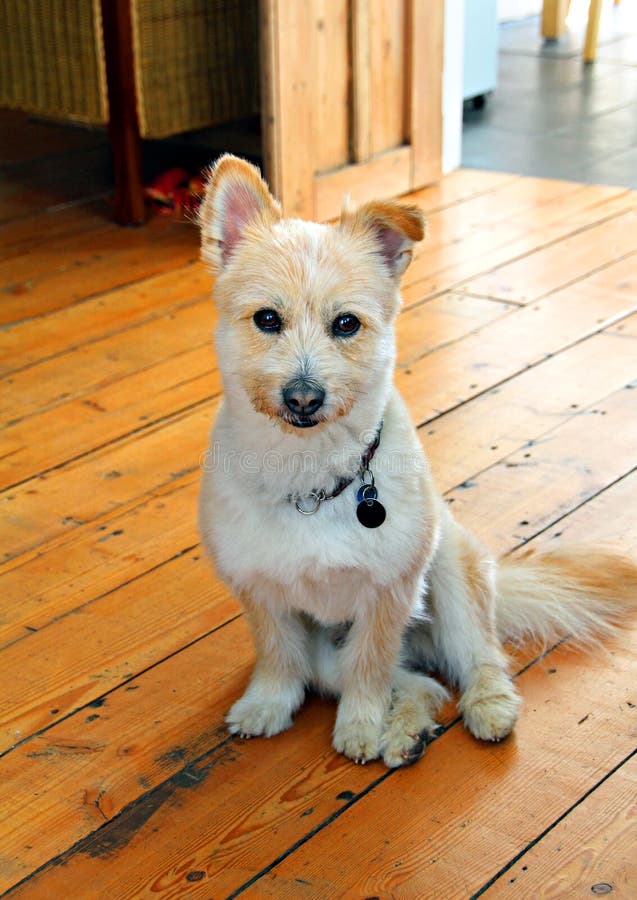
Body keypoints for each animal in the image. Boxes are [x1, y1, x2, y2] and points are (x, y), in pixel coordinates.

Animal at [196, 155, 632, 768]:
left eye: (347, 324)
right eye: (266, 320)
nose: (303, 398)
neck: (311, 478)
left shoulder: (389, 593)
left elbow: (370, 667)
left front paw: (360, 726)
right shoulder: (261, 590)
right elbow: (279, 657)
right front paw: (267, 705)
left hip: (450, 578)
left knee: (475, 659)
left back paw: (482, 710)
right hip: (336, 649)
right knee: (420, 685)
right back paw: (407, 733)